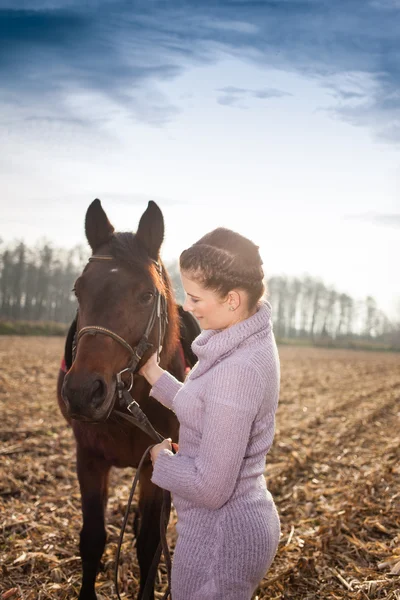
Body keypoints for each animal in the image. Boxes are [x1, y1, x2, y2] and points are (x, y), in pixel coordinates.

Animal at [57, 202, 198, 600]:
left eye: (147, 295)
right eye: (78, 290)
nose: (83, 392)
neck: (129, 403)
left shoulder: (154, 465)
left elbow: (149, 544)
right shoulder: (88, 459)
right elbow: (92, 538)